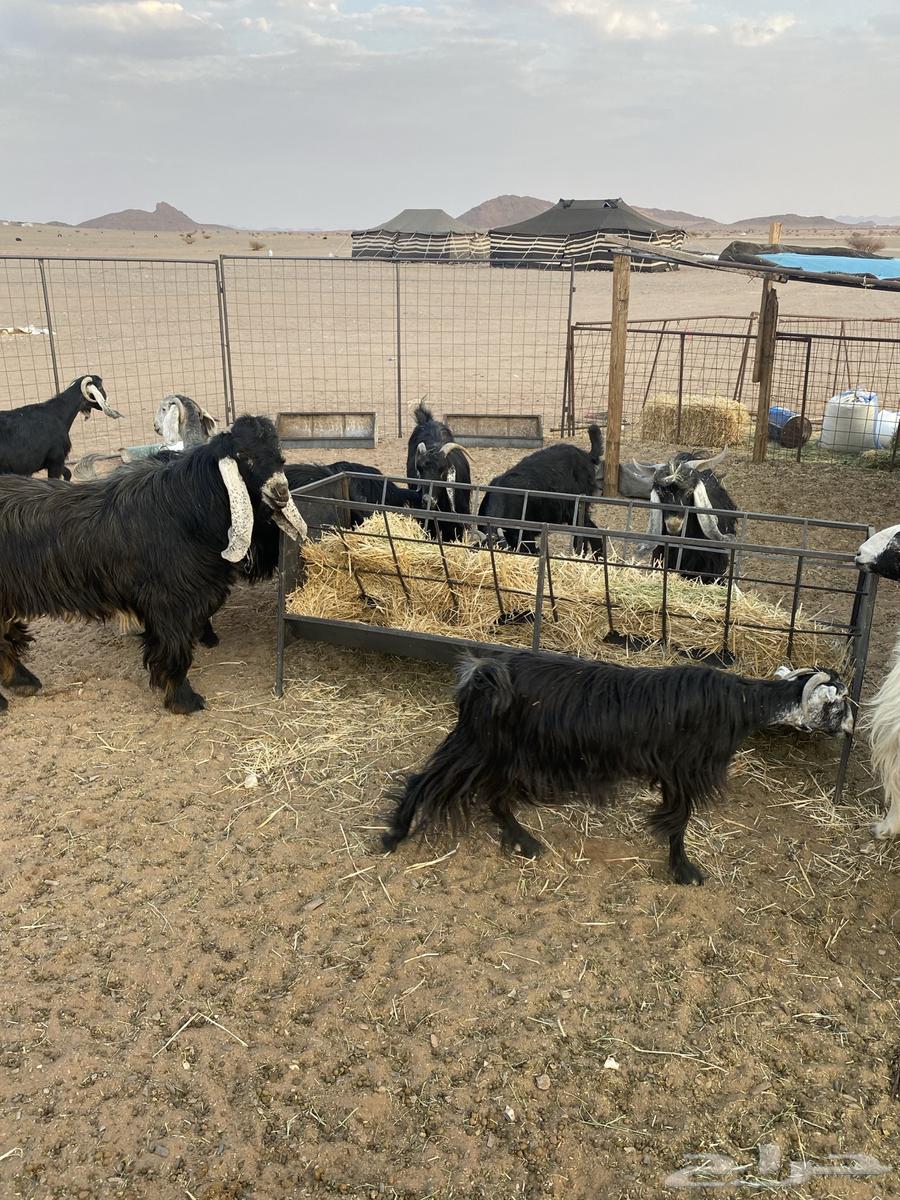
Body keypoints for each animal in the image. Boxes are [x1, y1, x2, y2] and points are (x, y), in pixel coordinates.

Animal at [0, 415, 307, 716]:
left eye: (280, 455)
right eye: (243, 454)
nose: (280, 491)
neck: (186, 508)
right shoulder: (169, 602)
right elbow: (174, 650)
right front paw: (183, 701)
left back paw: (23, 683)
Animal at [382, 649, 853, 885]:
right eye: (838, 703)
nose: (852, 727)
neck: (737, 704)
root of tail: (481, 676)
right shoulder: (681, 773)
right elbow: (678, 822)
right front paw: (684, 870)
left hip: (504, 755)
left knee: (495, 798)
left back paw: (524, 841)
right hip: (480, 748)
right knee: (425, 779)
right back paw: (393, 834)